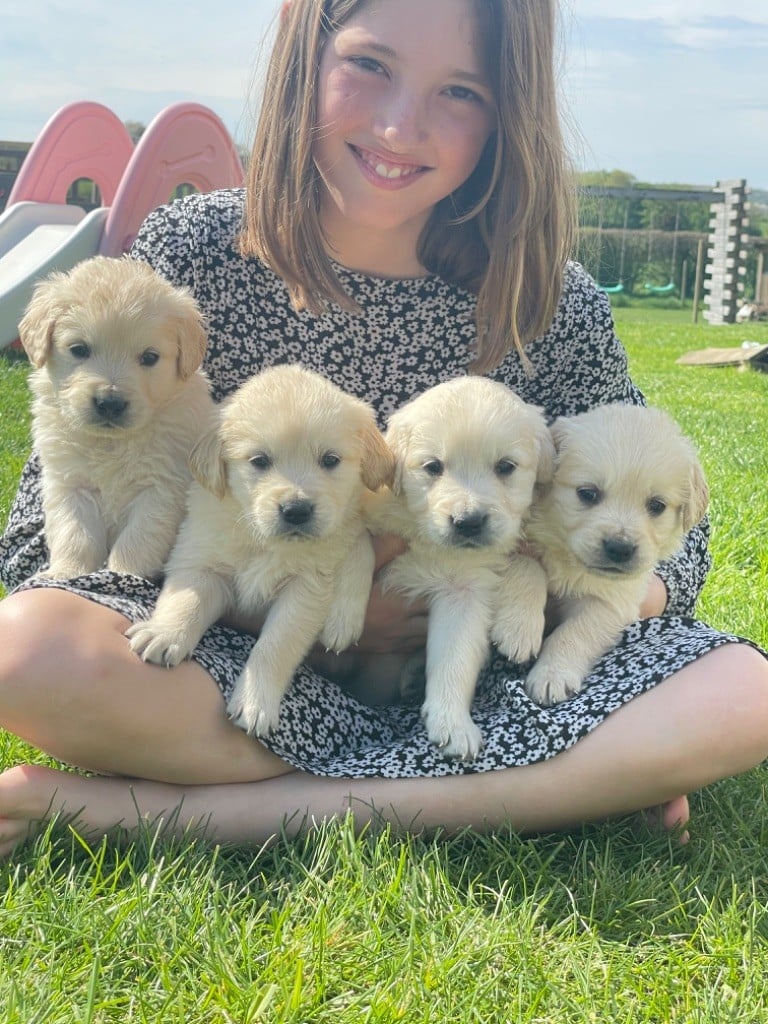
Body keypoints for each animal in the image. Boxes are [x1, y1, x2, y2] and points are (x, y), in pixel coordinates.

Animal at [18, 252, 217, 581]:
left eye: (149, 357)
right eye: (79, 349)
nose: (109, 402)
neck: (111, 443)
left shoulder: (161, 487)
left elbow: (138, 539)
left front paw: (123, 575)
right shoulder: (69, 484)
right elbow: (74, 533)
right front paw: (66, 572)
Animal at [128, 366, 393, 737]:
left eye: (330, 460)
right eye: (259, 461)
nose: (296, 510)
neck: (265, 542)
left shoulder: (307, 585)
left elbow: (276, 645)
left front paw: (256, 703)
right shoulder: (202, 560)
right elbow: (186, 600)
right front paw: (164, 632)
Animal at [370, 378, 557, 761]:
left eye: (505, 467)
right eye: (433, 466)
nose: (468, 522)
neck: (426, 539)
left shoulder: (464, 591)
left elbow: (455, 658)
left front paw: (453, 724)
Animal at [528, 403, 712, 708]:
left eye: (656, 505)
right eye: (588, 493)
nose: (620, 547)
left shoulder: (614, 601)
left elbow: (575, 631)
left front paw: (552, 674)